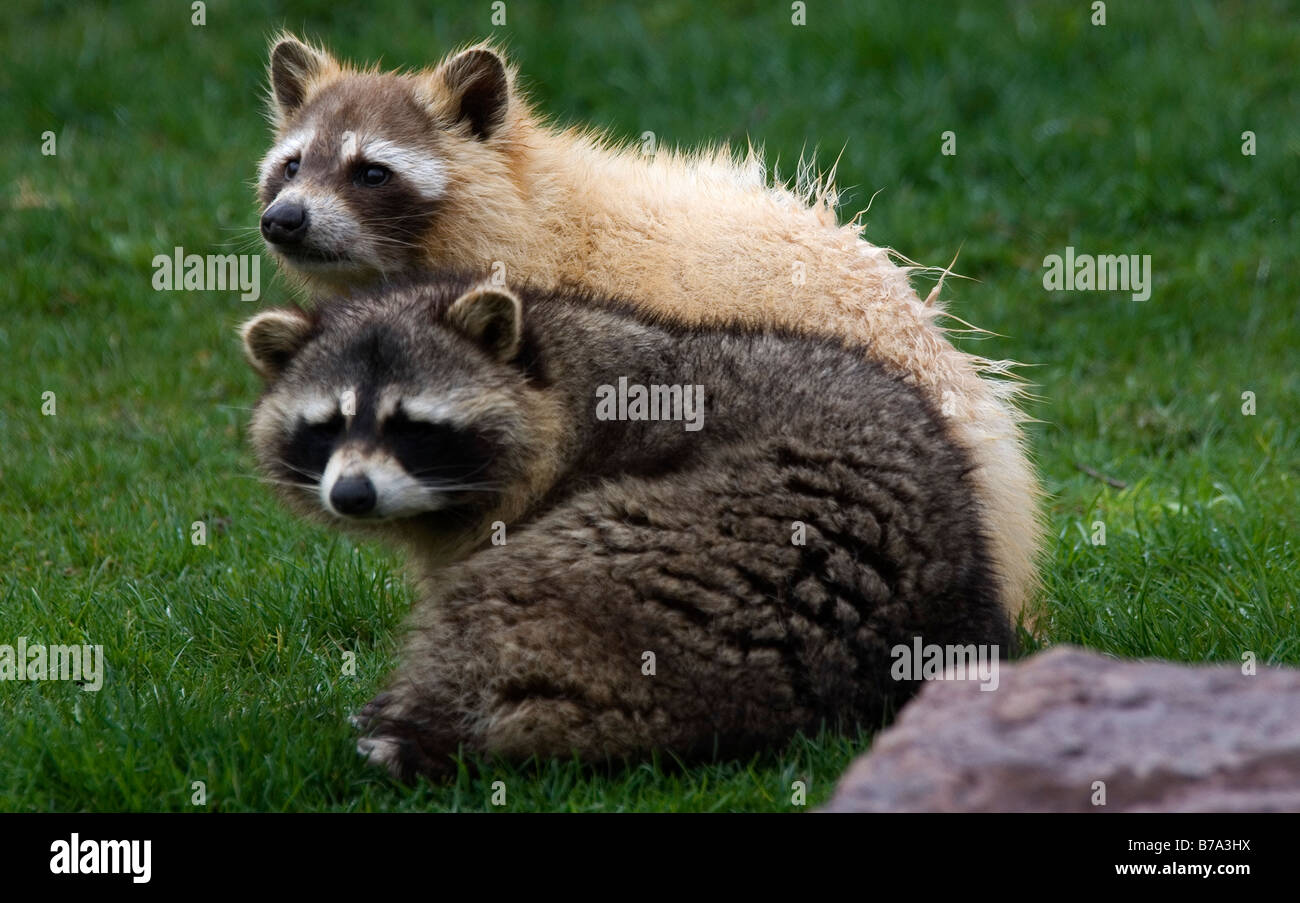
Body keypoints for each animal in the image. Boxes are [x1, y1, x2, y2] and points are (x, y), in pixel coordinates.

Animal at [245, 275, 1013, 784]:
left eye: (413, 427)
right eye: (327, 427)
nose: (352, 494)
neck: (560, 363)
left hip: (699, 549)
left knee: (502, 595)